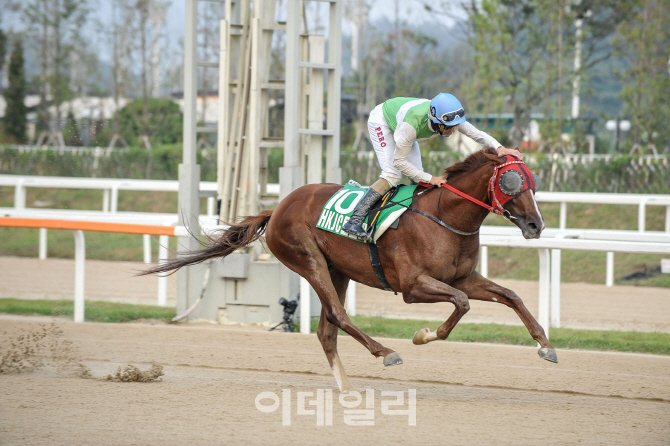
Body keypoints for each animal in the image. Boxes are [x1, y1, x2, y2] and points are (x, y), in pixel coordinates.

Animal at [144, 151, 560, 394]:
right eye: (512, 182)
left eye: (533, 182)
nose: (536, 225)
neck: (445, 217)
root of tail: (277, 208)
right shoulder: (413, 287)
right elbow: (460, 305)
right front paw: (423, 335)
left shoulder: (462, 278)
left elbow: (510, 295)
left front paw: (546, 346)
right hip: (308, 260)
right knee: (337, 315)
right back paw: (386, 352)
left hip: (338, 269)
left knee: (327, 329)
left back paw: (346, 386)